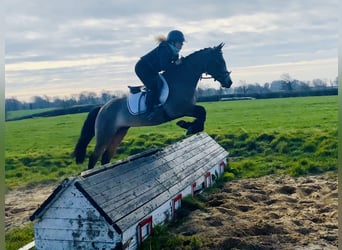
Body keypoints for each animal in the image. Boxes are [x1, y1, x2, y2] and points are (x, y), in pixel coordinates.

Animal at [72, 43, 232, 170]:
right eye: (218, 61)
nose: (229, 82)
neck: (182, 78)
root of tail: (102, 107)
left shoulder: (187, 108)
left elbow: (202, 114)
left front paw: (188, 126)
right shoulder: (179, 109)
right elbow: (202, 112)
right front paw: (189, 126)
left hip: (119, 132)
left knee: (105, 157)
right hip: (105, 134)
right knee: (94, 157)